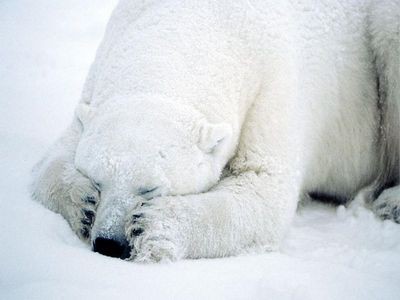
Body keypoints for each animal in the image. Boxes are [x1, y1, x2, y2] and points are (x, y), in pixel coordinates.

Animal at [28, 0, 400, 262]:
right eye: (98, 179)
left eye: (150, 189)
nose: (109, 242)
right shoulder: (98, 78)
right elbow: (54, 156)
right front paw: (83, 204)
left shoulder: (274, 89)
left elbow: (264, 190)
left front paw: (151, 226)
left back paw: (390, 202)